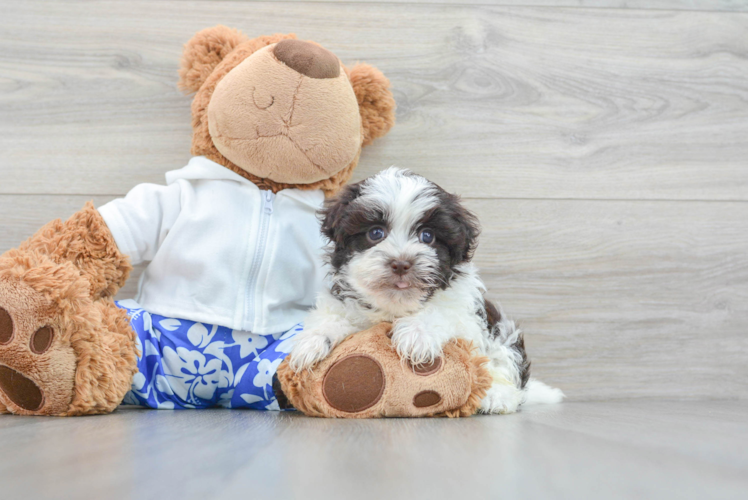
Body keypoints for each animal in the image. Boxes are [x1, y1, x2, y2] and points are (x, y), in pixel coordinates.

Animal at [290, 168, 564, 414]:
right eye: (375, 233)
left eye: (427, 236)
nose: (401, 263)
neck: (395, 306)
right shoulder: (344, 302)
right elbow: (331, 317)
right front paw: (312, 342)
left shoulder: (465, 313)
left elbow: (440, 311)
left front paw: (416, 334)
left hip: (503, 332)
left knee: (507, 368)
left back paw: (497, 396)